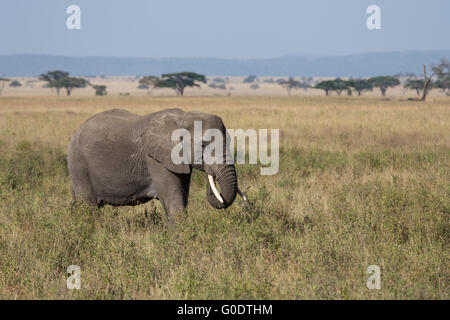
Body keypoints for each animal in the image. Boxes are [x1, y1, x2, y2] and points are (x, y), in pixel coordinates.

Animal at [67, 109, 246, 224]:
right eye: (203, 144)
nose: (212, 177)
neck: (185, 116)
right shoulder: (155, 158)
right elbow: (174, 200)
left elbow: (182, 196)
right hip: (79, 164)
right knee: (88, 206)